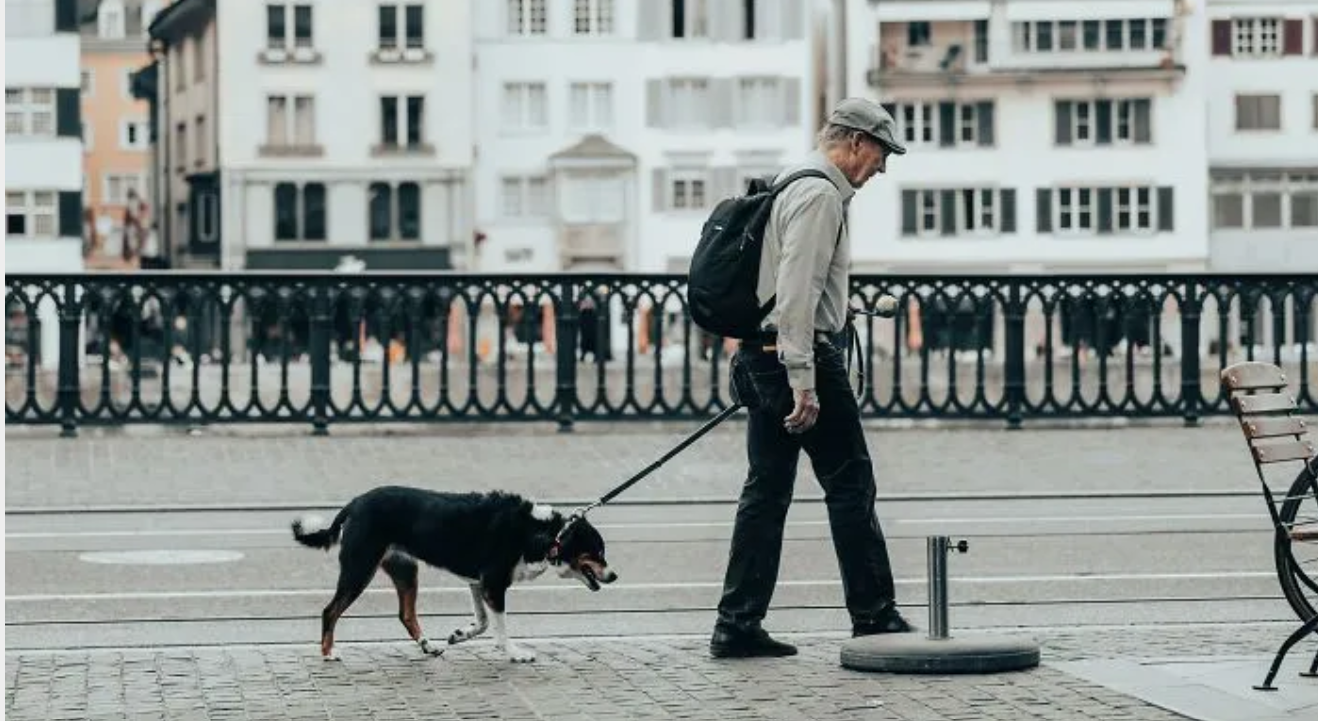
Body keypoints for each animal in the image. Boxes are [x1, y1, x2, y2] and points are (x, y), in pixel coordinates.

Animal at [291, 487, 614, 664]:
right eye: (597, 551)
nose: (613, 576)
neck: (543, 533)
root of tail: (355, 503)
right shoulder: (493, 585)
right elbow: (500, 628)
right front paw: (514, 653)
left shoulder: (478, 584)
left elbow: (483, 623)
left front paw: (460, 635)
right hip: (360, 569)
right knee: (330, 611)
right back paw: (328, 653)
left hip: (406, 571)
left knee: (406, 614)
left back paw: (428, 647)